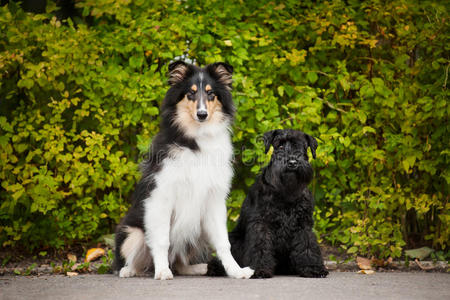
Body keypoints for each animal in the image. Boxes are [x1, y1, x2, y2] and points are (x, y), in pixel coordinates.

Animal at [114, 61, 255, 282]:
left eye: (211, 94)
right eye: (190, 93)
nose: (202, 114)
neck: (197, 138)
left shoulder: (214, 200)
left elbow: (224, 242)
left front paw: (236, 271)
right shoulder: (160, 197)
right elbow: (161, 241)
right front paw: (162, 272)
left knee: (180, 264)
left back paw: (199, 268)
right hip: (132, 232)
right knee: (136, 261)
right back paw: (131, 270)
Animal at [207, 129, 326, 278]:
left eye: (302, 147)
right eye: (280, 145)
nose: (292, 162)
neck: (287, 191)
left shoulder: (303, 224)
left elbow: (307, 245)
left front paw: (312, 268)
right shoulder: (261, 224)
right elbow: (260, 246)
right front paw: (259, 269)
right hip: (234, 240)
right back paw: (215, 268)